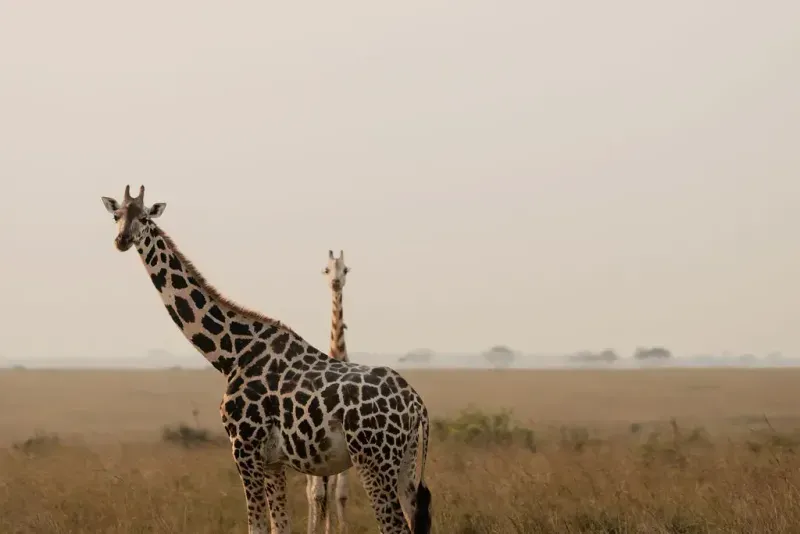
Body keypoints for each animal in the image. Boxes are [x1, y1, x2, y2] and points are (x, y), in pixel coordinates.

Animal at [100, 185, 432, 534]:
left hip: (374, 460)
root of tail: (417, 406)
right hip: (406, 464)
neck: (230, 353)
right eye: (116, 215)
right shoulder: (273, 460)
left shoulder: (244, 446)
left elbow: (257, 526)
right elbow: (279, 526)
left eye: (145, 217)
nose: (122, 240)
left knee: (394, 526)